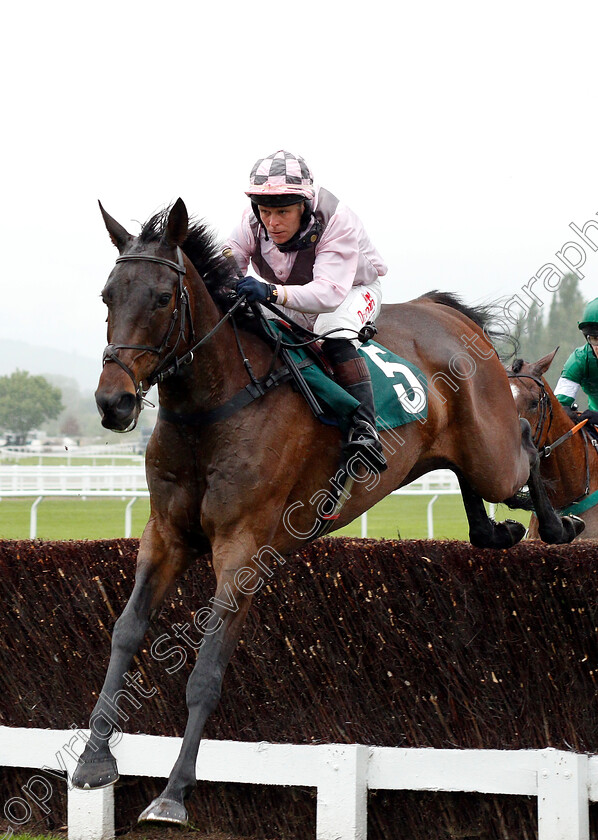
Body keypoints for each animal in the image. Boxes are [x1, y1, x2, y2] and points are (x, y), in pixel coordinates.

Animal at [72, 200, 584, 824]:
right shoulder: (165, 534)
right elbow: (125, 632)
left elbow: (206, 670)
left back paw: (558, 522)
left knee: (527, 447)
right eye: (108, 295)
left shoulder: (243, 549)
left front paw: (172, 793)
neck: (213, 406)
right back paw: (495, 530)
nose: (113, 401)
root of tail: (448, 314)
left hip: (493, 454)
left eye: (164, 298)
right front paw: (94, 760)